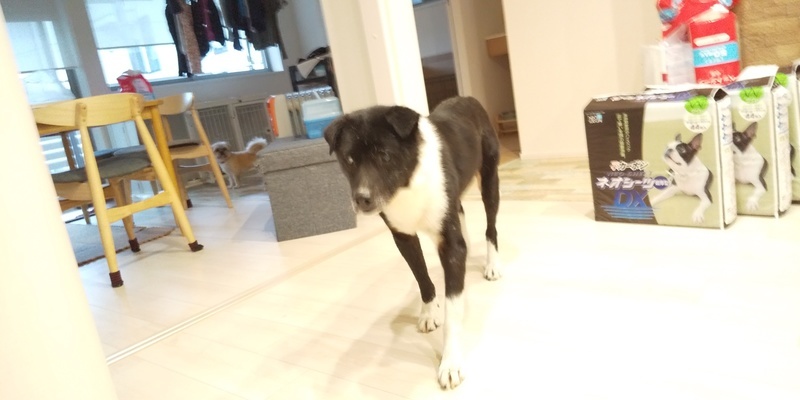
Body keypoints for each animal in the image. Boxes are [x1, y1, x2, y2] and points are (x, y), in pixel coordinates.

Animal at [323, 96, 501, 390]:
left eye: (384, 155)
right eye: (349, 160)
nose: (362, 199)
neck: (407, 183)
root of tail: (467, 99)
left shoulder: (449, 242)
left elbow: (453, 309)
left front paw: (450, 363)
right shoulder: (403, 237)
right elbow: (422, 278)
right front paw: (429, 313)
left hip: (489, 178)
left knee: (491, 227)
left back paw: (492, 265)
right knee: (461, 211)